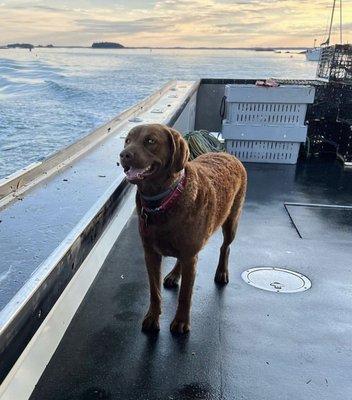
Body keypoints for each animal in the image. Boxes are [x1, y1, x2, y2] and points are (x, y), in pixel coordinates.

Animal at [119, 124, 246, 334]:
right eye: (127, 140)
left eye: (150, 141)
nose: (123, 155)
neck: (163, 202)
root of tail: (226, 154)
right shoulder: (151, 254)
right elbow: (154, 291)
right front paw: (152, 317)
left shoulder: (190, 254)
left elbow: (185, 295)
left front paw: (180, 322)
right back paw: (174, 275)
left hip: (231, 221)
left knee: (225, 247)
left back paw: (222, 272)